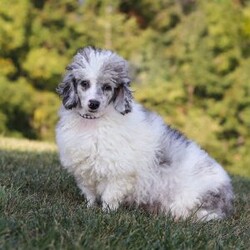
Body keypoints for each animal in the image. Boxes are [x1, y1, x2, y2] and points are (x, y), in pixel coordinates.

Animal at [55, 46, 233, 221]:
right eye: (84, 83)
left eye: (107, 87)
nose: (94, 104)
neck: (93, 122)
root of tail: (227, 196)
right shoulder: (84, 172)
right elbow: (90, 195)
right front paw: (89, 209)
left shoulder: (119, 174)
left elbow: (109, 197)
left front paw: (106, 213)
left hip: (193, 201)